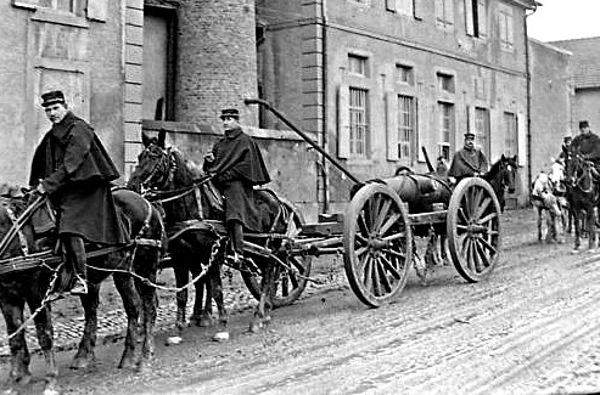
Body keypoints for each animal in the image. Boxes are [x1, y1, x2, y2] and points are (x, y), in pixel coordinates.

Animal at [0, 186, 164, 395]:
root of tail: (146, 202)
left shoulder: (37, 294)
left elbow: (44, 336)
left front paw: (50, 381)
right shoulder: (7, 297)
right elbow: (15, 337)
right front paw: (14, 380)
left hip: (146, 267)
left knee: (149, 307)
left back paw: (145, 358)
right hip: (123, 272)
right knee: (133, 307)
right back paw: (126, 356)